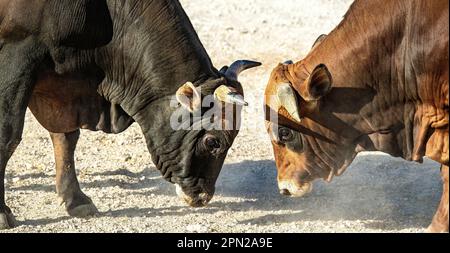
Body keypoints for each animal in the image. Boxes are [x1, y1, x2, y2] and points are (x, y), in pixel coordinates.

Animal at [0, 0, 260, 229]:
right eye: (213, 141)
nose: (203, 196)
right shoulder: (17, 54)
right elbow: (8, 135)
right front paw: (3, 213)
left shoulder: (65, 88)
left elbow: (66, 138)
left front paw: (75, 199)